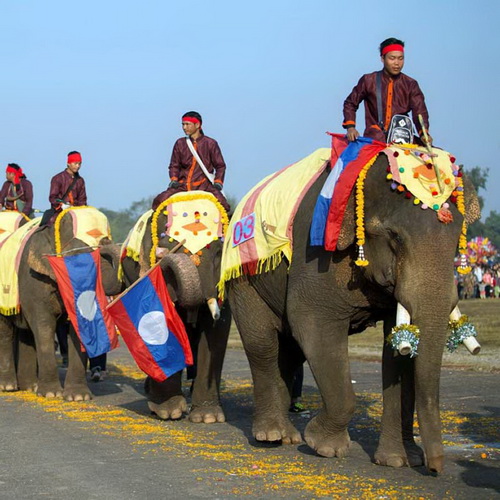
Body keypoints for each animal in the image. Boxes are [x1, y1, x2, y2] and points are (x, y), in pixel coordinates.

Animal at [0, 209, 122, 400]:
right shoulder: (34, 278)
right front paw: (51, 394)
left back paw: (30, 387)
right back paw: (8, 386)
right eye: (80, 257)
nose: (106, 242)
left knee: (25, 334)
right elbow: (43, 325)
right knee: (5, 331)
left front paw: (78, 397)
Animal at [224, 150, 480, 474]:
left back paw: (288, 436)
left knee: (289, 352)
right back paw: (272, 435)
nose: (435, 469)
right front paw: (324, 446)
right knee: (263, 344)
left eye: (459, 239)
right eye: (395, 236)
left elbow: (397, 350)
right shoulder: (315, 255)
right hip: (243, 277)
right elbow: (312, 323)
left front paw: (398, 461)